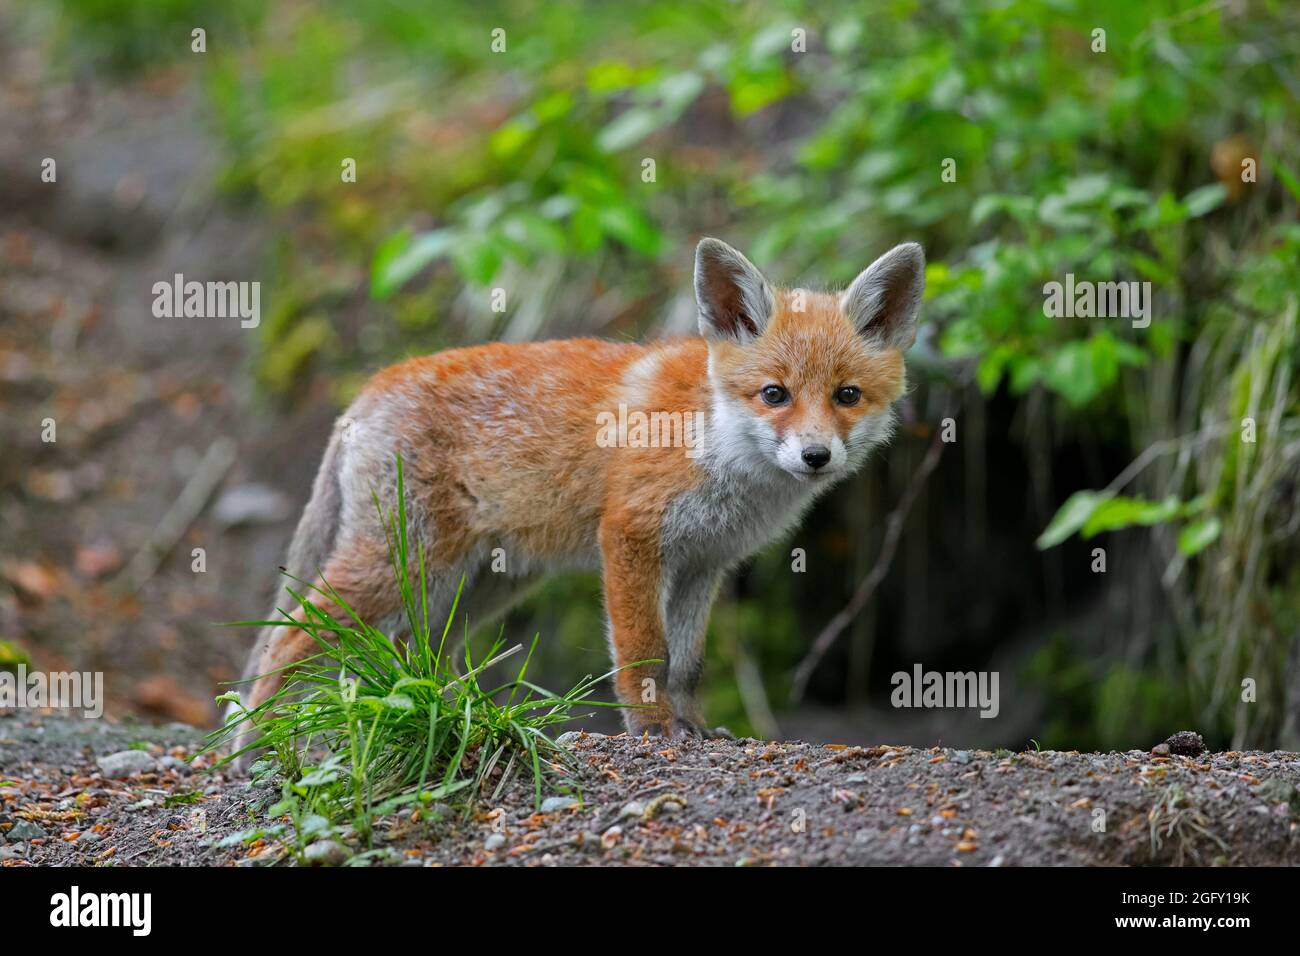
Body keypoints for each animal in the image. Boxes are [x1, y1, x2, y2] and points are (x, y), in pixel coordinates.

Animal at [233, 239, 925, 749]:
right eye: (774, 394)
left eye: (846, 396)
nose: (816, 456)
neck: (714, 441)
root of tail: (369, 389)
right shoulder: (632, 537)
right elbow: (644, 657)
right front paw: (653, 731)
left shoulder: (703, 563)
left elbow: (687, 665)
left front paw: (695, 728)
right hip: (403, 566)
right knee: (285, 640)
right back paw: (259, 751)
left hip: (474, 586)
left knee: (412, 653)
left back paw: (442, 717)